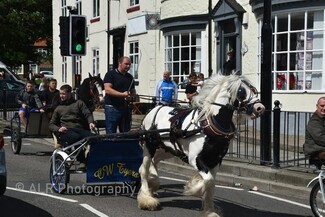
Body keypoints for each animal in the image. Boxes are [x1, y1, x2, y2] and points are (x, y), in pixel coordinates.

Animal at [135, 73, 264, 217]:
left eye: (254, 90)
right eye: (241, 92)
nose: (260, 108)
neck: (208, 124)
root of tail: (154, 109)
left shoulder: (216, 160)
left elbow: (211, 184)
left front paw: (209, 210)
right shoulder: (195, 159)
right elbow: (208, 181)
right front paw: (194, 188)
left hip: (168, 149)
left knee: (155, 160)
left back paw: (153, 183)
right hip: (149, 146)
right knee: (143, 169)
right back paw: (147, 198)